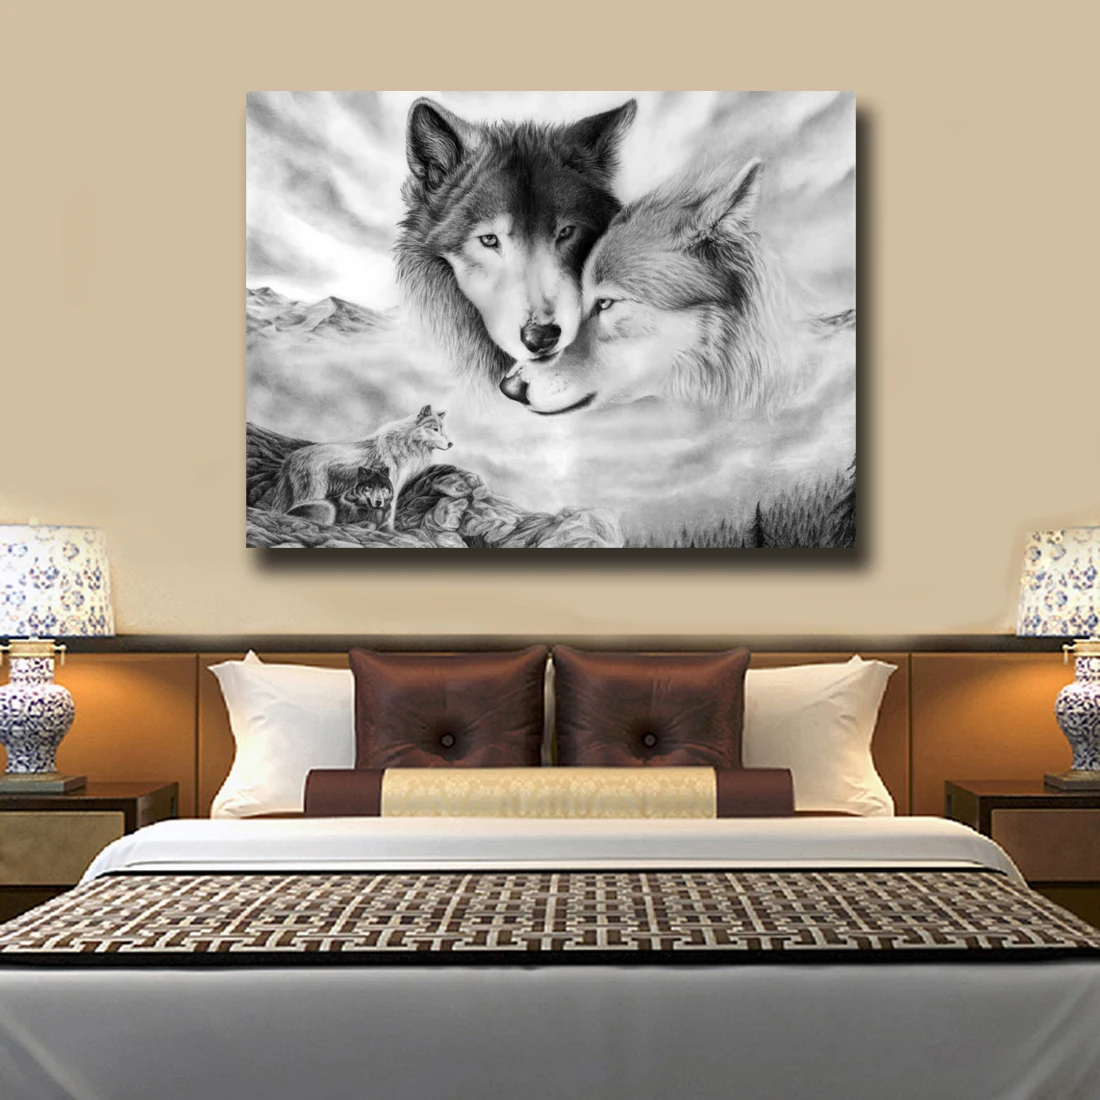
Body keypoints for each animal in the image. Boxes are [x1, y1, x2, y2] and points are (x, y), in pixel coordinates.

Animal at [271, 406, 451, 528]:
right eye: (435, 429)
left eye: (443, 429)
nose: (451, 444)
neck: (405, 443)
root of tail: (292, 456)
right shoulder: (391, 485)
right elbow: (390, 513)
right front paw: (389, 531)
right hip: (313, 493)